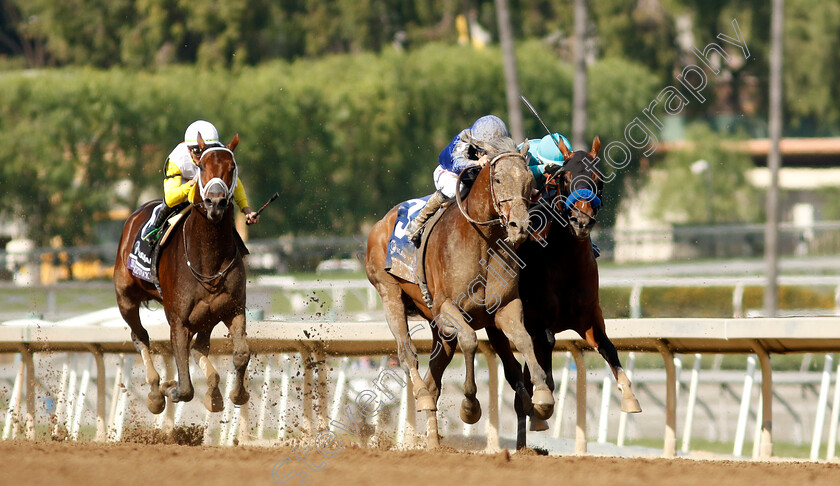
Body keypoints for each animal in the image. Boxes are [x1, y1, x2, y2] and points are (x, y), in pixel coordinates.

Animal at [115, 135, 253, 416]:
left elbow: (242, 353)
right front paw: (170, 388)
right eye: (201, 167)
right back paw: (155, 392)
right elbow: (186, 386)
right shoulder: (178, 320)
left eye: (231, 167)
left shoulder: (233, 309)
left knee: (200, 348)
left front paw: (238, 393)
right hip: (125, 299)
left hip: (208, 316)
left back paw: (213, 393)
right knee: (140, 336)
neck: (209, 259)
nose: (215, 202)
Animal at [488, 136, 640, 448]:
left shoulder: (590, 318)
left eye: (599, 179)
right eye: (565, 178)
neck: (565, 263)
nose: (581, 221)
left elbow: (608, 347)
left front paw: (630, 397)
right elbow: (545, 350)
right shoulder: (537, 320)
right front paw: (544, 403)